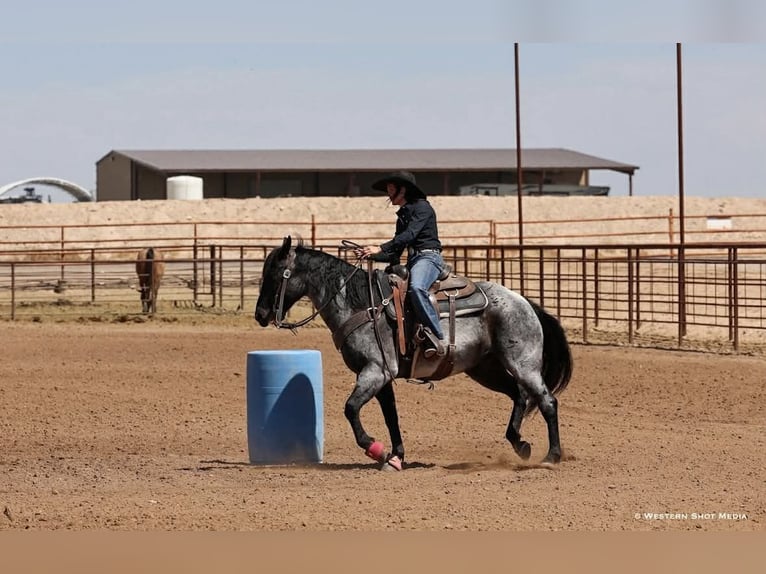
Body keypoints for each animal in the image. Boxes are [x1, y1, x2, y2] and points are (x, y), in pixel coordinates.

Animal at [254, 236, 573, 470]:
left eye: (275, 275)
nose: (260, 315)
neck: (361, 303)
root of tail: (524, 302)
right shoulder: (381, 375)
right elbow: (390, 416)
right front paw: (394, 457)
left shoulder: (375, 371)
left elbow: (351, 408)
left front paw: (375, 448)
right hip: (486, 369)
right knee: (519, 395)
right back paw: (520, 444)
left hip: (523, 364)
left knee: (547, 401)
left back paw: (552, 456)